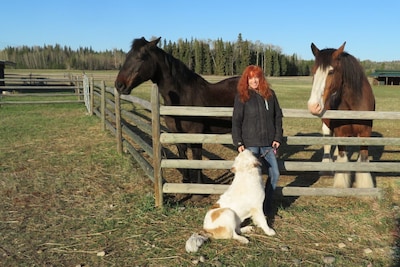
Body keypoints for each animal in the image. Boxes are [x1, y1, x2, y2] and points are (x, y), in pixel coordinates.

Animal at [114, 37, 239, 184]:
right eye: (127, 56)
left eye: (140, 58)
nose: (119, 85)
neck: (182, 98)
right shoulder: (177, 134)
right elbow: (182, 157)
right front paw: (186, 181)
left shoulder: (195, 135)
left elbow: (197, 161)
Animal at [308, 42, 376, 188]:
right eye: (313, 71)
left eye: (331, 71)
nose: (313, 106)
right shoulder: (341, 131)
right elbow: (342, 156)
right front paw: (341, 185)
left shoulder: (366, 132)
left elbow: (363, 156)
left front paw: (365, 186)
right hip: (326, 125)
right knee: (327, 143)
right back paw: (326, 169)